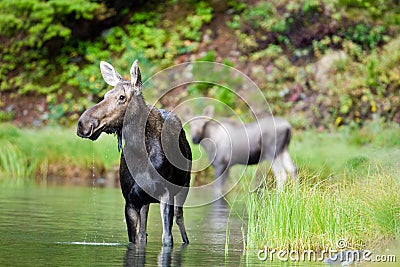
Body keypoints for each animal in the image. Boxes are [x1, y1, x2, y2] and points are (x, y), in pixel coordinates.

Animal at [77, 59, 192, 248]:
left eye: (121, 97)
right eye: (105, 95)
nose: (83, 124)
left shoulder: (166, 194)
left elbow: (167, 239)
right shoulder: (131, 201)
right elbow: (135, 239)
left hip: (184, 186)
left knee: (179, 218)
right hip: (145, 201)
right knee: (144, 233)